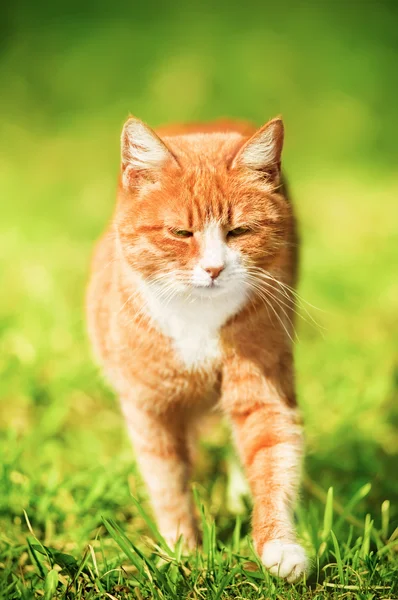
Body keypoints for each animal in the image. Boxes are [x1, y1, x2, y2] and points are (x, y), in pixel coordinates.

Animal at [86, 113, 310, 580]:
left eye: (239, 231)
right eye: (180, 232)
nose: (214, 268)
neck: (197, 315)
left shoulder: (263, 390)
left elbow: (272, 458)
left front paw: (279, 548)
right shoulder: (149, 409)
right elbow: (167, 479)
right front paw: (180, 552)